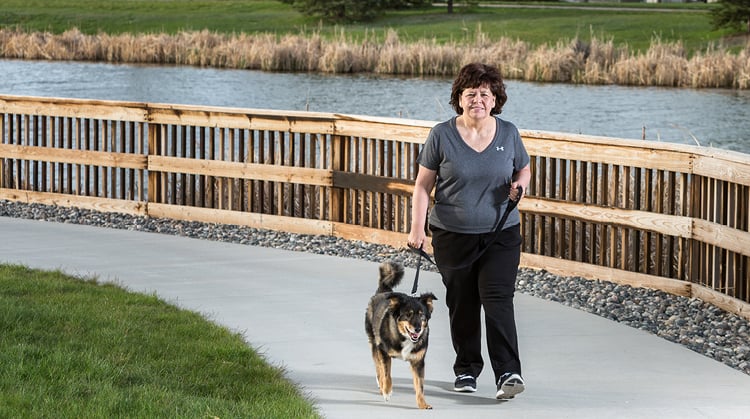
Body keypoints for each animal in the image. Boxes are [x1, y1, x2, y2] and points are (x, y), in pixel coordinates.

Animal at [366, 262, 438, 410]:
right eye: (408, 315)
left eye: (422, 315)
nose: (417, 329)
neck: (404, 337)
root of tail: (383, 290)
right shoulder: (383, 351)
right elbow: (386, 373)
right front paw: (387, 391)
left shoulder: (418, 361)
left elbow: (420, 385)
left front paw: (423, 404)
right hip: (374, 342)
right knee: (378, 366)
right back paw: (381, 385)